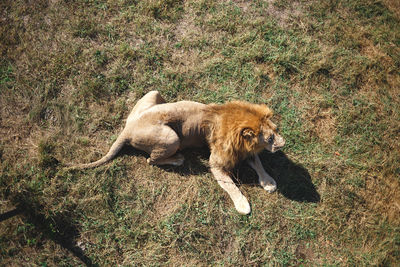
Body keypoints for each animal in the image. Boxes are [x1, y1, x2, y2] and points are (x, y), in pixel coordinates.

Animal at [70, 91, 286, 215]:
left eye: (276, 131)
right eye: (270, 138)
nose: (283, 144)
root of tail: (128, 129)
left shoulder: (244, 152)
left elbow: (259, 163)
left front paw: (268, 182)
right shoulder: (216, 163)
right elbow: (231, 186)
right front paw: (243, 206)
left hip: (153, 93)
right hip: (171, 137)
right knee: (150, 160)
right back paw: (178, 159)